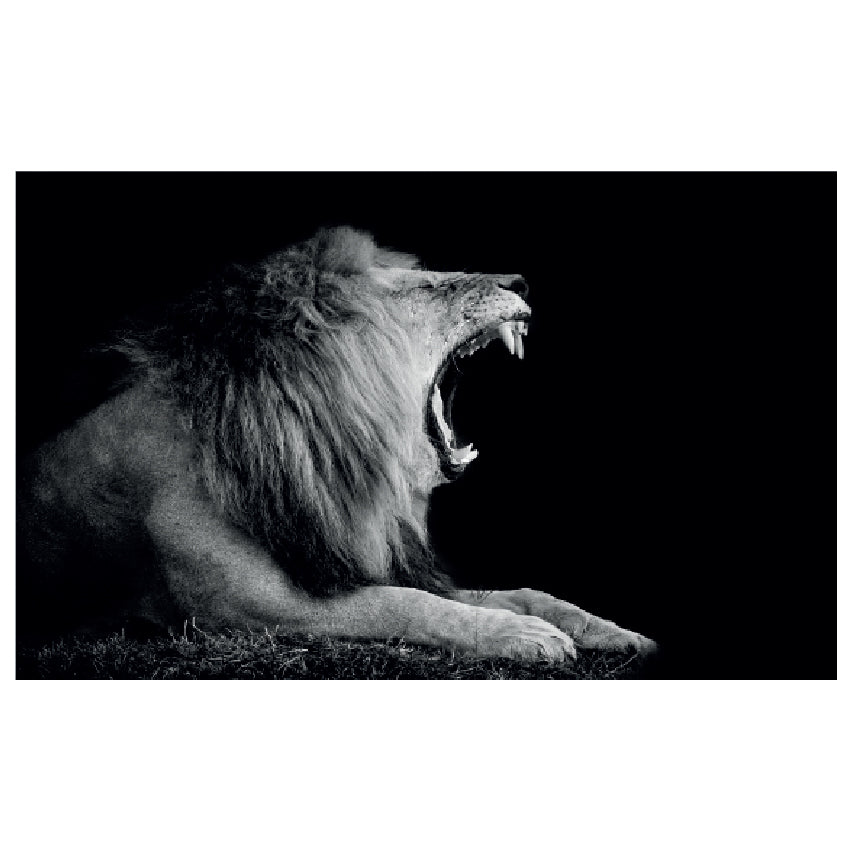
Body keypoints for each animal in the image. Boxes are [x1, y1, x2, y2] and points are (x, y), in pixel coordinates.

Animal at [17, 226, 656, 663]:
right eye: (427, 285)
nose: (521, 281)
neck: (324, 459)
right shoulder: (246, 608)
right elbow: (406, 604)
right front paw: (519, 635)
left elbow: (523, 591)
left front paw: (608, 629)